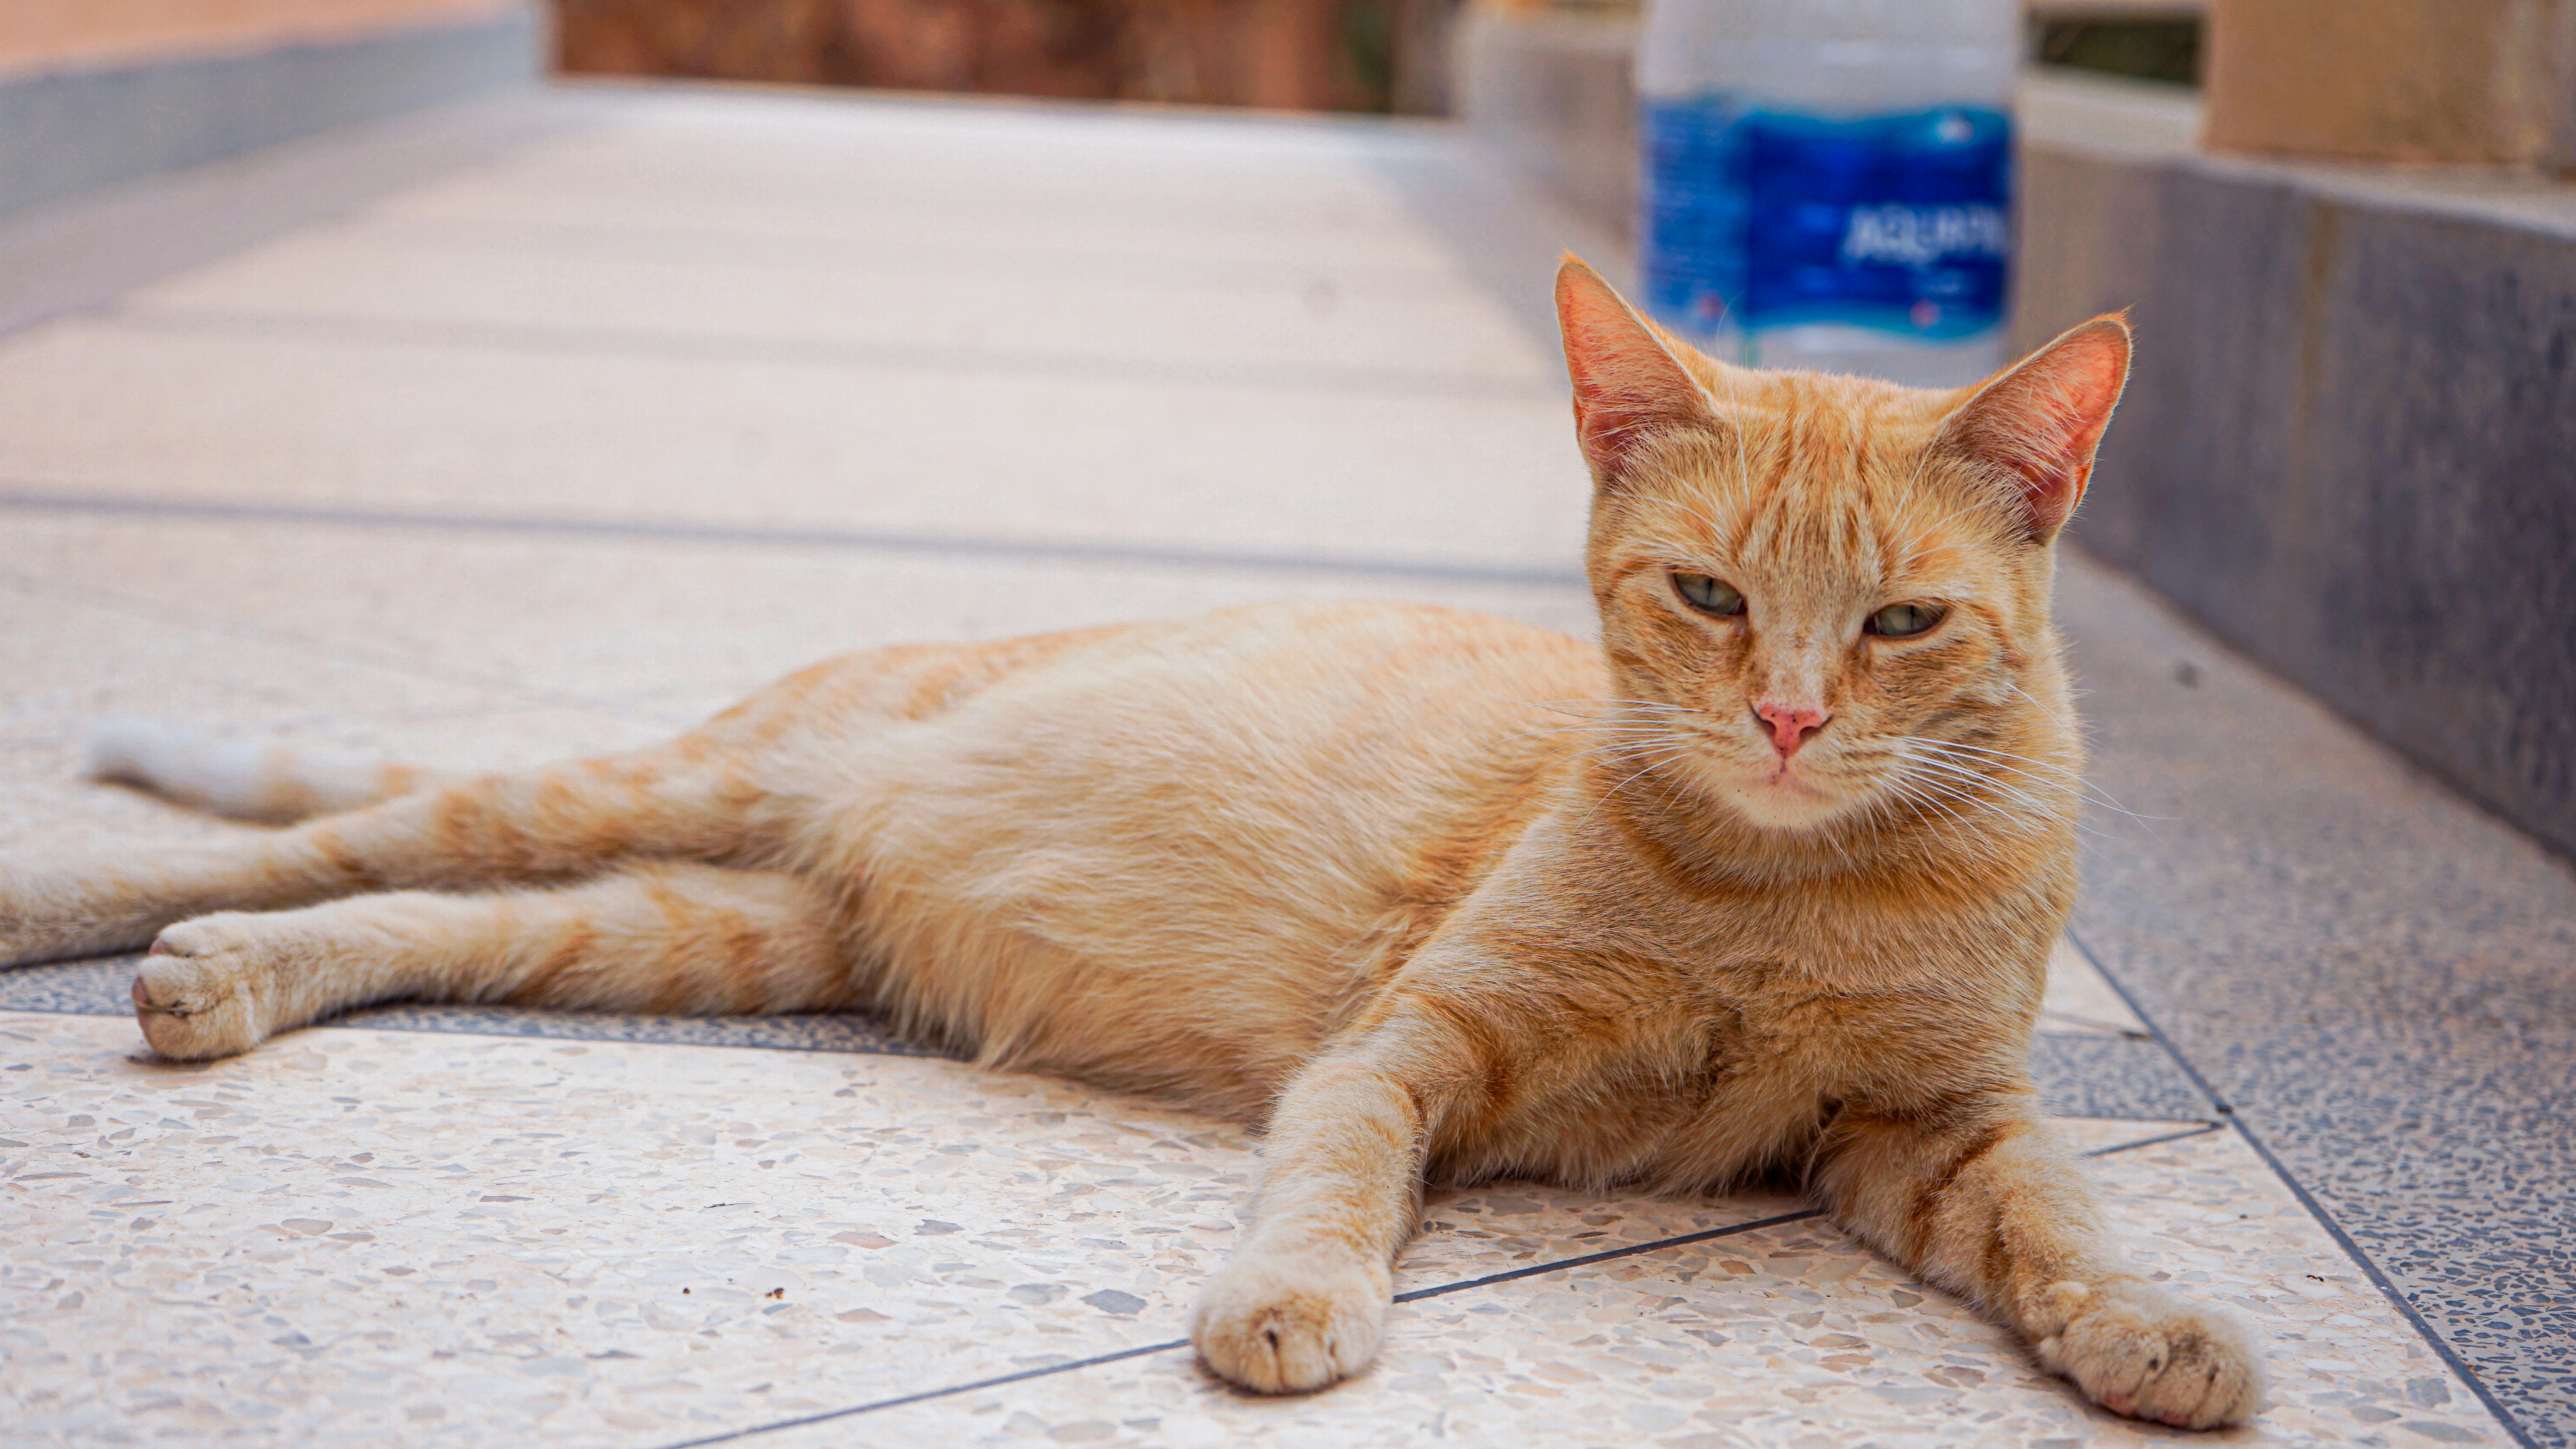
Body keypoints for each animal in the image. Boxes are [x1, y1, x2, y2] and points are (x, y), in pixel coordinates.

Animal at [0, 257, 2257, 1431]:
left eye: (1899, 626)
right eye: (1709, 598)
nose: (1787, 721)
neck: (1790, 892)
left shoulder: (1930, 1132)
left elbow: (2060, 1217)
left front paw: (2150, 1327)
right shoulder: (1404, 1050)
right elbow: (1336, 1185)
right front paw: (1292, 1301)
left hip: (699, 937)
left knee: (423, 909)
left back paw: (232, 987)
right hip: (665, 792)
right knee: (339, 838)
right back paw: (93, 912)